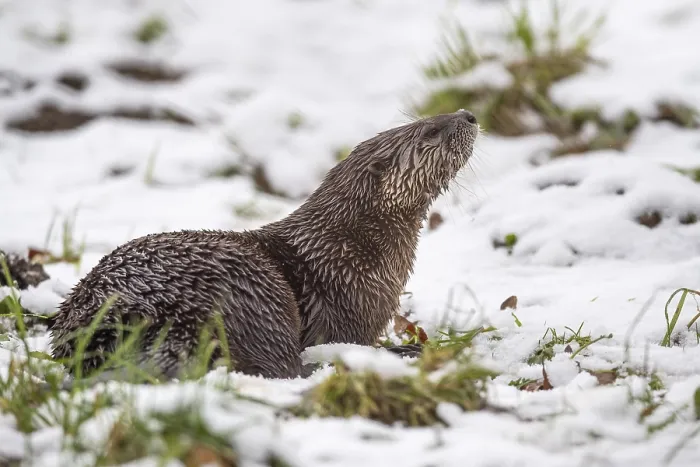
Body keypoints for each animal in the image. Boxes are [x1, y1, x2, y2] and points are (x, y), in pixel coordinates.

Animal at [49, 110, 479, 380]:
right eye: (430, 130)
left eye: (421, 118)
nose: (469, 115)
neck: (348, 250)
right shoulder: (352, 307)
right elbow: (345, 342)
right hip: (259, 292)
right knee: (284, 367)